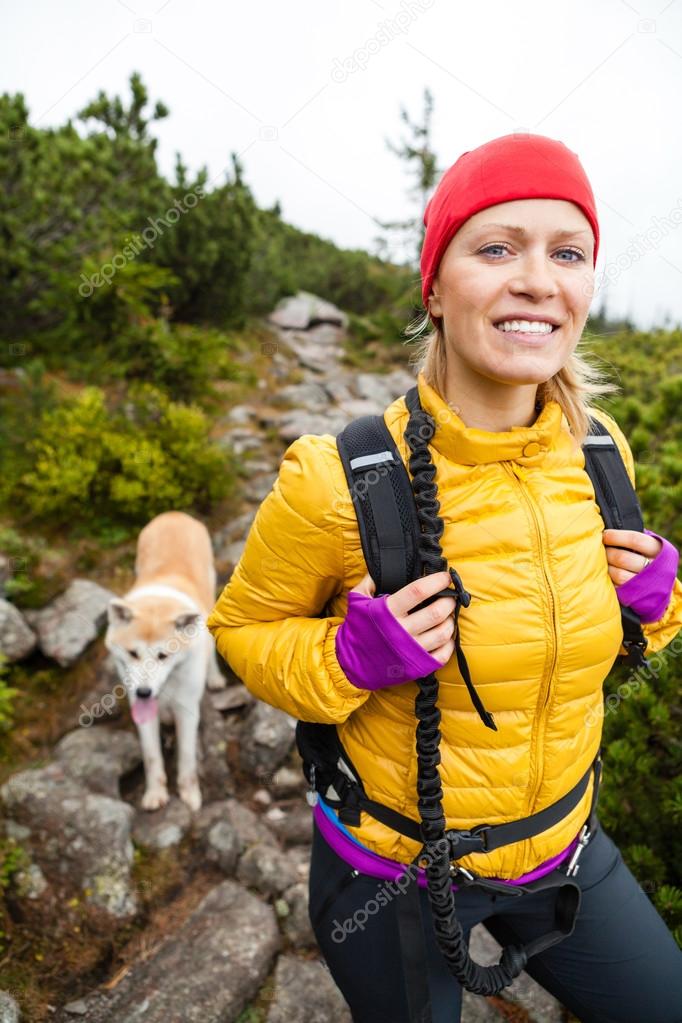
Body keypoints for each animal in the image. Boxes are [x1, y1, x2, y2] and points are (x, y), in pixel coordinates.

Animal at [105, 515, 224, 810]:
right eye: (133, 653)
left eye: (163, 656)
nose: (144, 692)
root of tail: (174, 515)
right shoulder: (141, 711)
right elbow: (152, 757)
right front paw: (155, 795)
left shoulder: (188, 709)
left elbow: (187, 758)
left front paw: (190, 795)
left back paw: (215, 678)